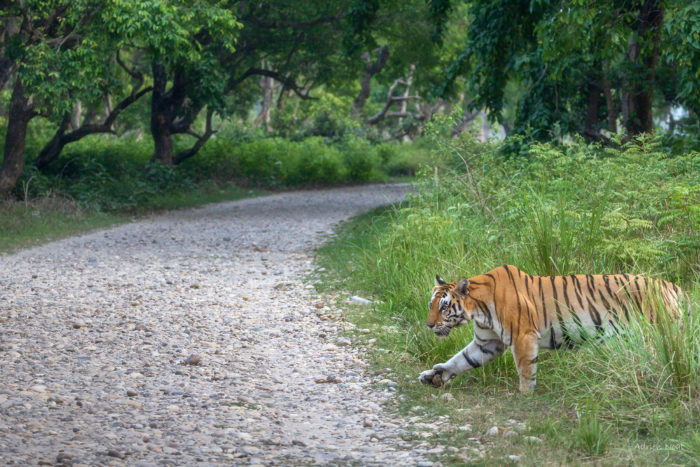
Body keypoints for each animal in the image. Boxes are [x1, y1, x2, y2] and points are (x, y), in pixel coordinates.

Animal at [418, 264, 686, 393]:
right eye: (431, 305)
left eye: (444, 307)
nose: (429, 325)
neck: (478, 309)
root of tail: (671, 285)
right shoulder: (487, 344)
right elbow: (460, 359)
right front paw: (434, 376)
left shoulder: (523, 336)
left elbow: (526, 369)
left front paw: (525, 395)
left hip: (654, 334)